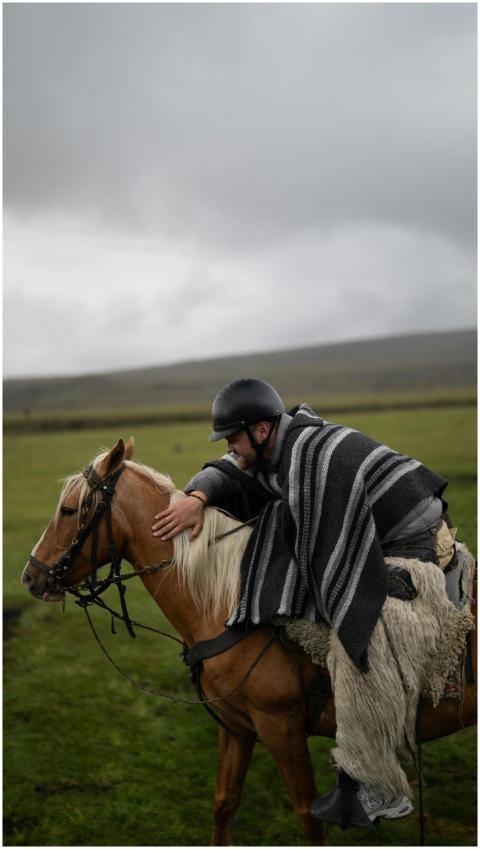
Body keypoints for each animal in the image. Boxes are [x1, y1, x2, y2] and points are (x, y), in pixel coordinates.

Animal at [21, 437, 476, 846]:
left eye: (68, 510)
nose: (31, 576)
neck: (225, 601)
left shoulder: (280, 726)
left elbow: (307, 814)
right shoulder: (236, 725)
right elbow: (225, 802)